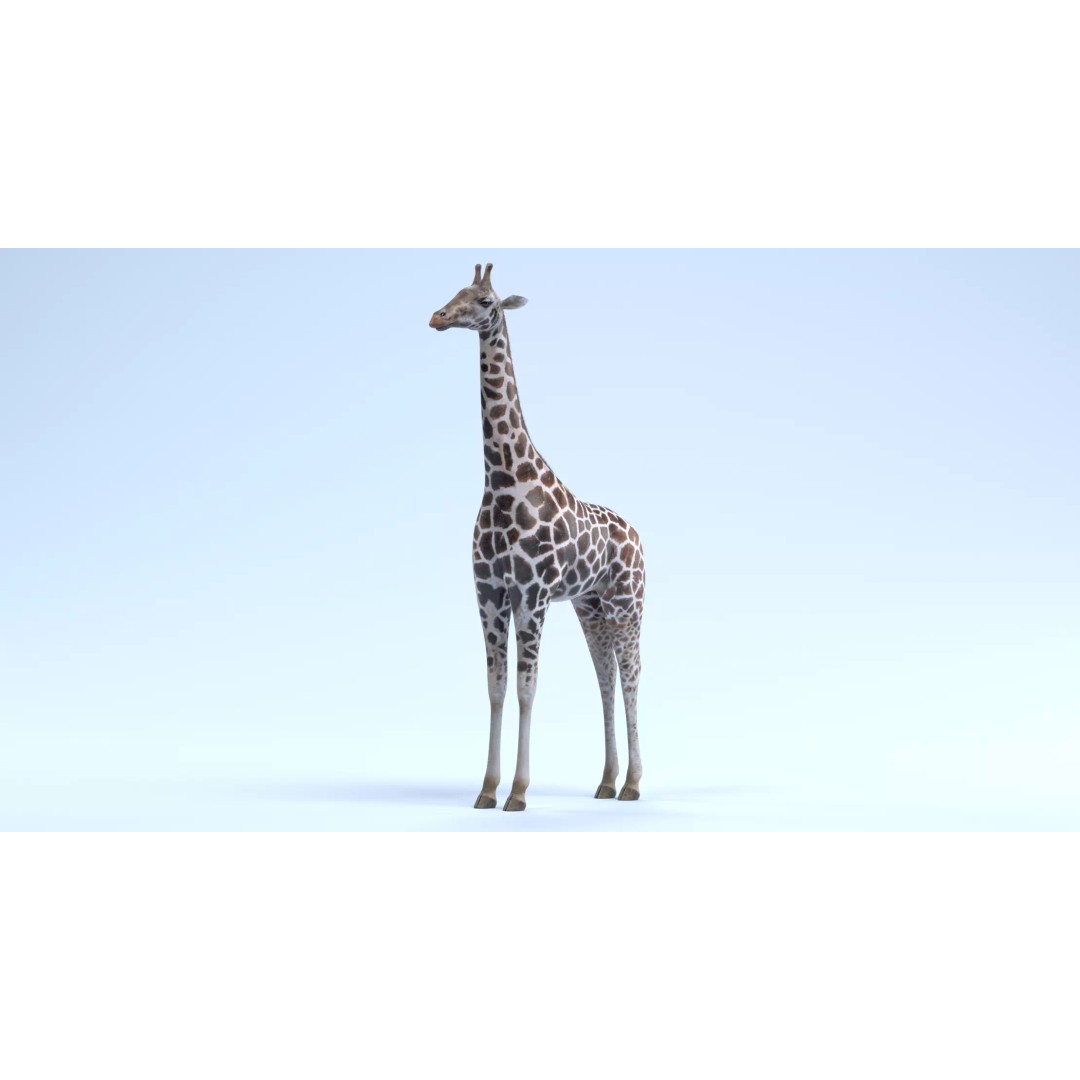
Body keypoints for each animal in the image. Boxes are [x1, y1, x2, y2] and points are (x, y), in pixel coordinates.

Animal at [429, 263, 646, 811]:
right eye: (456, 291)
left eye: (484, 301)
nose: (437, 317)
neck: (505, 478)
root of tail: (637, 534)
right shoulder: (489, 594)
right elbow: (496, 688)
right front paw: (487, 789)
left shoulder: (532, 596)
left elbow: (528, 691)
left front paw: (519, 792)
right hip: (592, 608)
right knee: (606, 679)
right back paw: (607, 783)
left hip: (627, 606)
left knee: (632, 677)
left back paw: (633, 784)